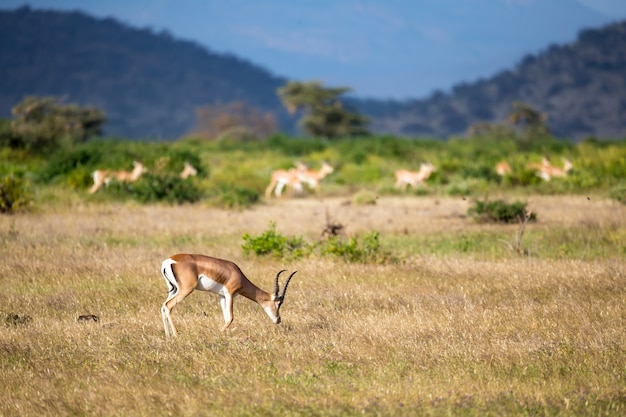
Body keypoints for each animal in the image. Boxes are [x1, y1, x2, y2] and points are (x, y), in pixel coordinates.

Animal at [161, 252, 298, 336]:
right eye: (279, 303)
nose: (278, 319)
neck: (238, 274)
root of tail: (169, 261)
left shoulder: (222, 296)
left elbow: (226, 317)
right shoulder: (230, 294)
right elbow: (231, 318)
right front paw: (218, 334)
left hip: (174, 289)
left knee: (163, 306)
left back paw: (168, 336)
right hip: (186, 290)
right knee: (168, 306)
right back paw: (176, 334)